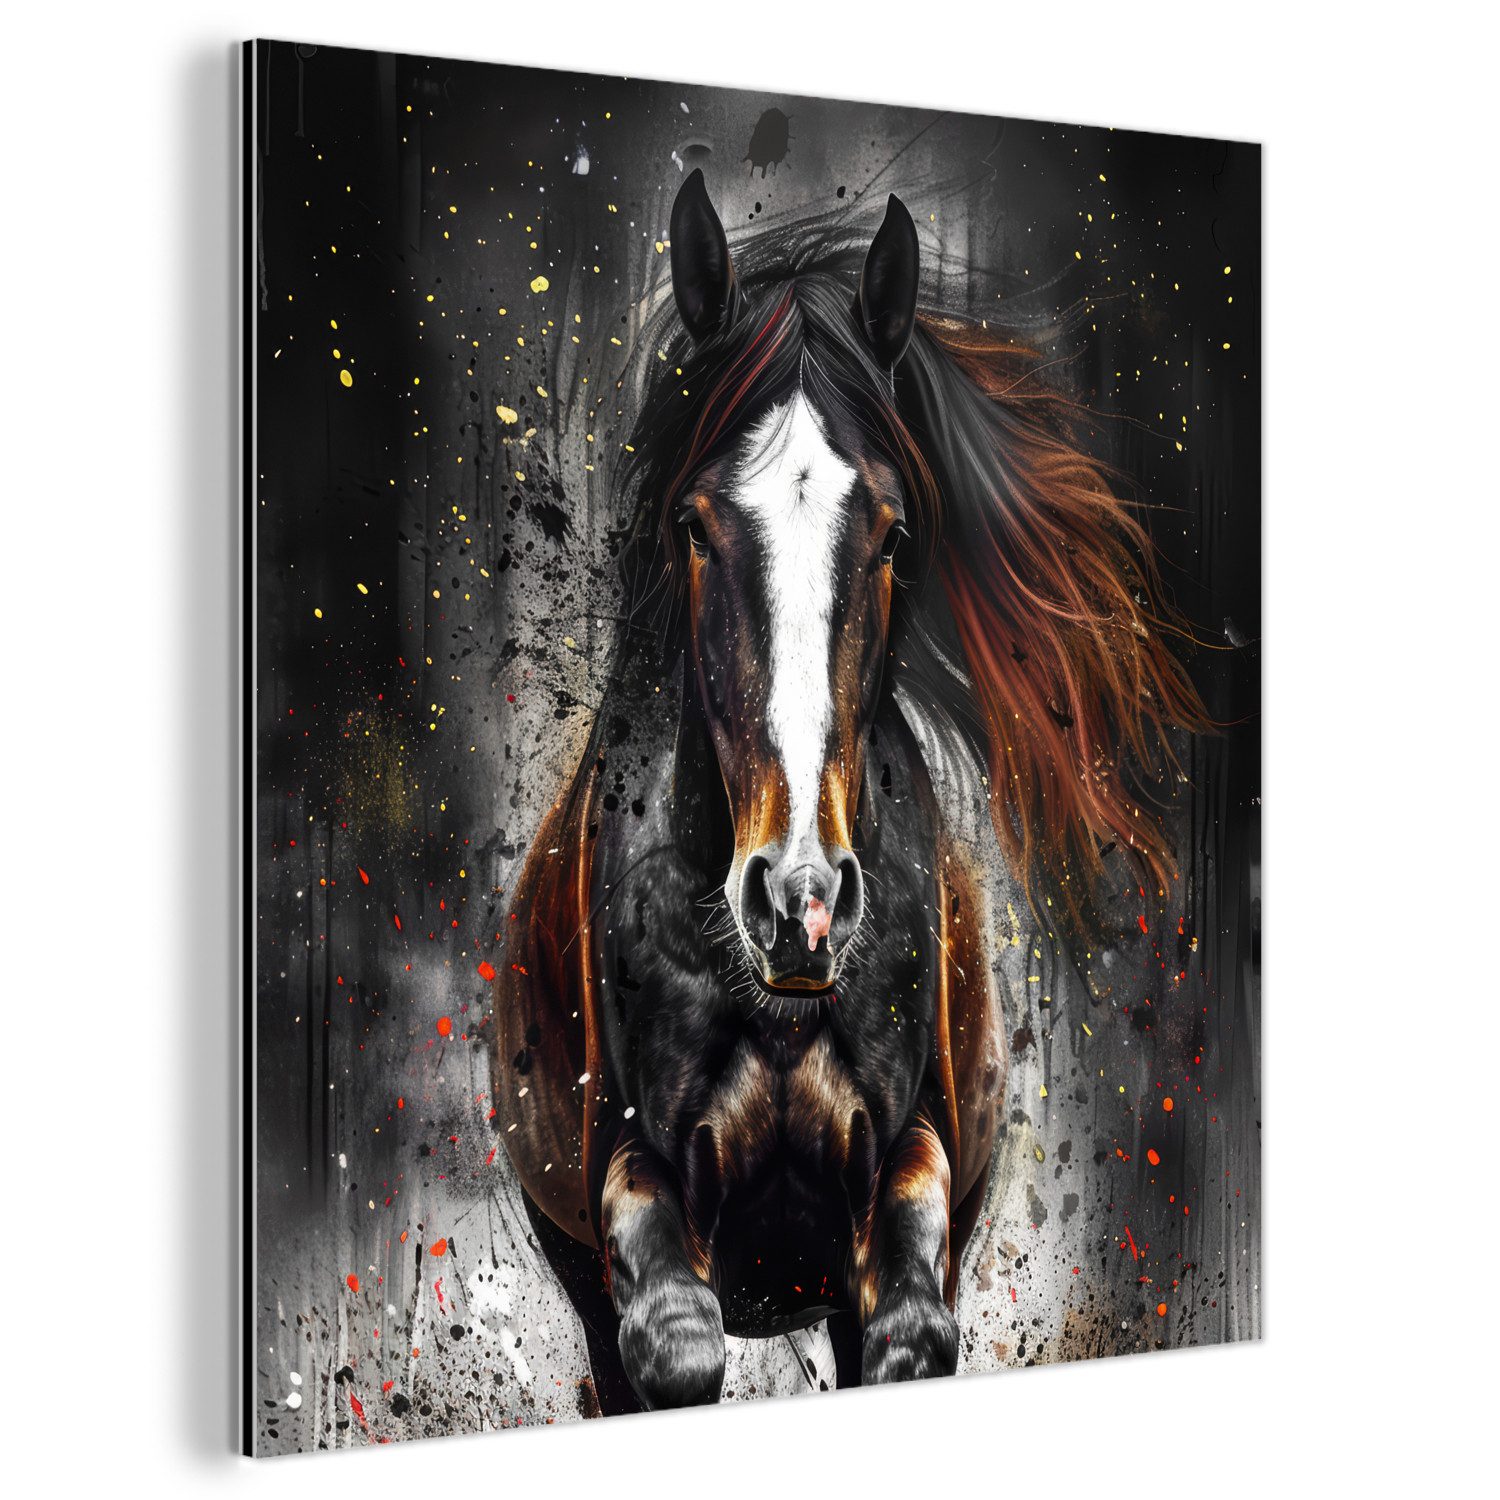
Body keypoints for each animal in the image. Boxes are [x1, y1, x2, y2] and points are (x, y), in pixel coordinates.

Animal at [491, 169, 1207, 1412]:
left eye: (889, 530)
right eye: (694, 525)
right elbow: (672, 1341)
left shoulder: (908, 1156)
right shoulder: (630, 1164)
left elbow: (911, 1325)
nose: (800, 904)